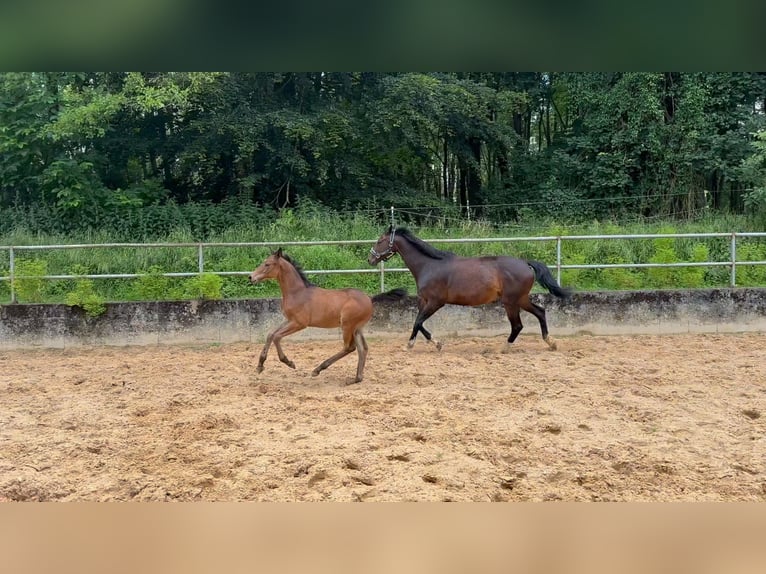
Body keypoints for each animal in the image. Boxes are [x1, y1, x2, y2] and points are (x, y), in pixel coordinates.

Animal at [252, 250, 408, 384]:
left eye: (267, 264)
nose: (251, 277)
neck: (298, 292)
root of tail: (370, 298)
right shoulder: (289, 320)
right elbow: (270, 334)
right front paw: (260, 366)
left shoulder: (299, 323)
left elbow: (277, 336)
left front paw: (288, 362)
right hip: (357, 329)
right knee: (363, 348)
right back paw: (356, 378)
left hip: (347, 325)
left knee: (349, 348)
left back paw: (318, 369)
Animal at [368, 227, 572, 354]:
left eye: (380, 240)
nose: (370, 259)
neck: (429, 265)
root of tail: (525, 264)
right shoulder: (424, 302)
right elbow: (419, 323)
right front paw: (437, 344)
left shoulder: (435, 302)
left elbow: (417, 322)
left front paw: (409, 346)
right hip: (521, 299)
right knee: (540, 312)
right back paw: (551, 343)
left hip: (510, 301)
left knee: (518, 325)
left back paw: (504, 348)